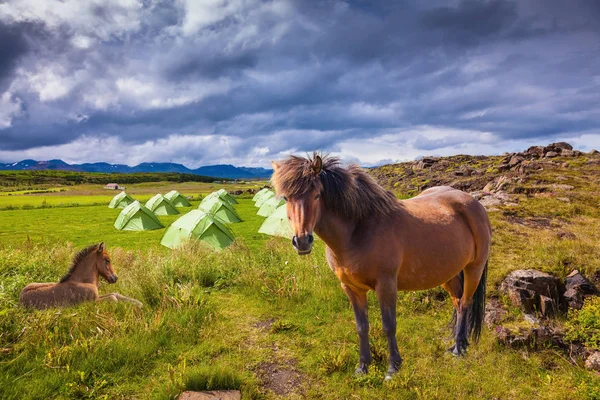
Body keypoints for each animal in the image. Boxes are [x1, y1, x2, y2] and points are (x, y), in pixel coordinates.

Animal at [272, 153, 492, 378]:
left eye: (317, 195)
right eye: (286, 198)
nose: (302, 241)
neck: (357, 231)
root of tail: (474, 203)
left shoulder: (386, 285)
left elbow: (389, 325)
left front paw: (393, 367)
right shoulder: (351, 288)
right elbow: (362, 327)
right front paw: (362, 366)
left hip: (474, 268)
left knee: (465, 303)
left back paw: (458, 348)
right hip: (449, 274)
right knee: (457, 302)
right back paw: (458, 344)